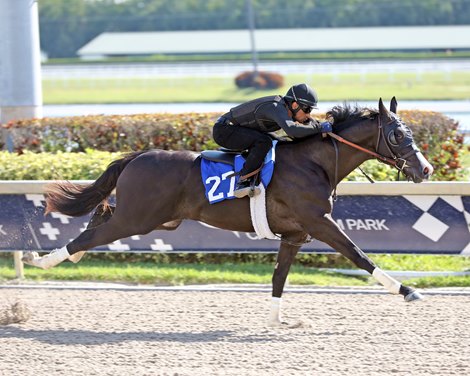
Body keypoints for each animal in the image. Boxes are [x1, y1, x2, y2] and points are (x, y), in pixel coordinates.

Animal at [23, 97, 434, 326]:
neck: (314, 162)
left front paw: (278, 321)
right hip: (137, 218)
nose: (426, 169)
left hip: (155, 218)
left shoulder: (295, 234)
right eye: (398, 135)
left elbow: (279, 277)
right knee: (91, 235)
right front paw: (408, 291)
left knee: (100, 215)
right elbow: (359, 255)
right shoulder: (319, 223)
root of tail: (138, 155)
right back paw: (42, 260)